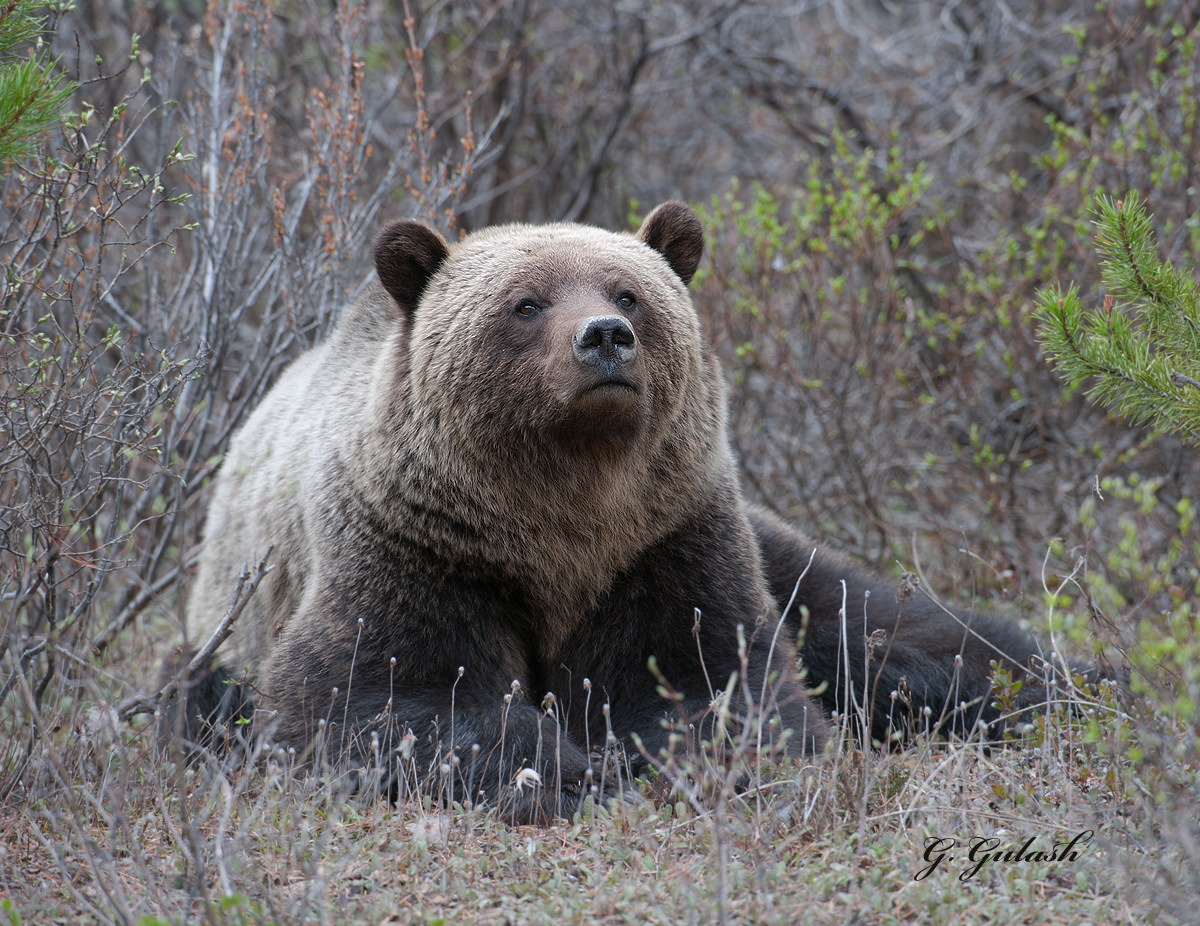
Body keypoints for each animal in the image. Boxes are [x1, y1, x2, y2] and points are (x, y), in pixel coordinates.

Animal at [178, 202, 1054, 822]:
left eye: (628, 289)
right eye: (526, 303)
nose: (605, 336)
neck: (561, 517)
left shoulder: (663, 541)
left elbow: (713, 680)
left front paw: (674, 763)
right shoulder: (416, 548)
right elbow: (388, 698)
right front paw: (561, 774)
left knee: (886, 627)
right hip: (220, 633)